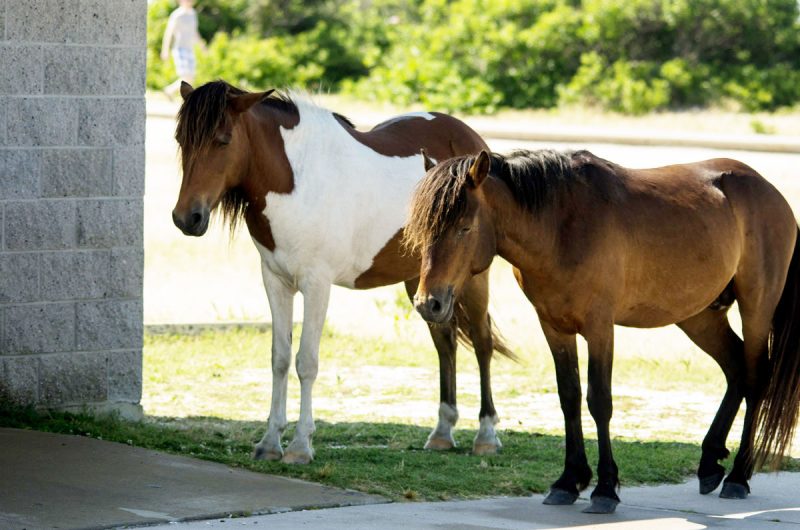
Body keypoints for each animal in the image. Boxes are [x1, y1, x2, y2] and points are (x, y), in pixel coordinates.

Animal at [172, 78, 516, 462]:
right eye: (181, 140)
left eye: (223, 139)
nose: (187, 218)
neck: (296, 179)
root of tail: (474, 144)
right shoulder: (275, 281)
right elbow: (279, 359)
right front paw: (270, 442)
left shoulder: (316, 284)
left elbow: (306, 361)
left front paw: (300, 445)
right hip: (424, 282)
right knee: (445, 342)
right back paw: (442, 431)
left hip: (472, 279)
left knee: (483, 342)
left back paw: (486, 435)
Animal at [406, 148, 800, 512]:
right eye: (424, 229)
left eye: (464, 227)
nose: (429, 303)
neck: (560, 225)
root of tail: (768, 191)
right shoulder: (554, 327)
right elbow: (568, 397)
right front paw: (568, 481)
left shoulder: (600, 328)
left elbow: (599, 401)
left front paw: (605, 488)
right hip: (698, 316)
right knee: (735, 370)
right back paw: (709, 463)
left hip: (756, 308)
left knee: (755, 379)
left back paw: (738, 476)